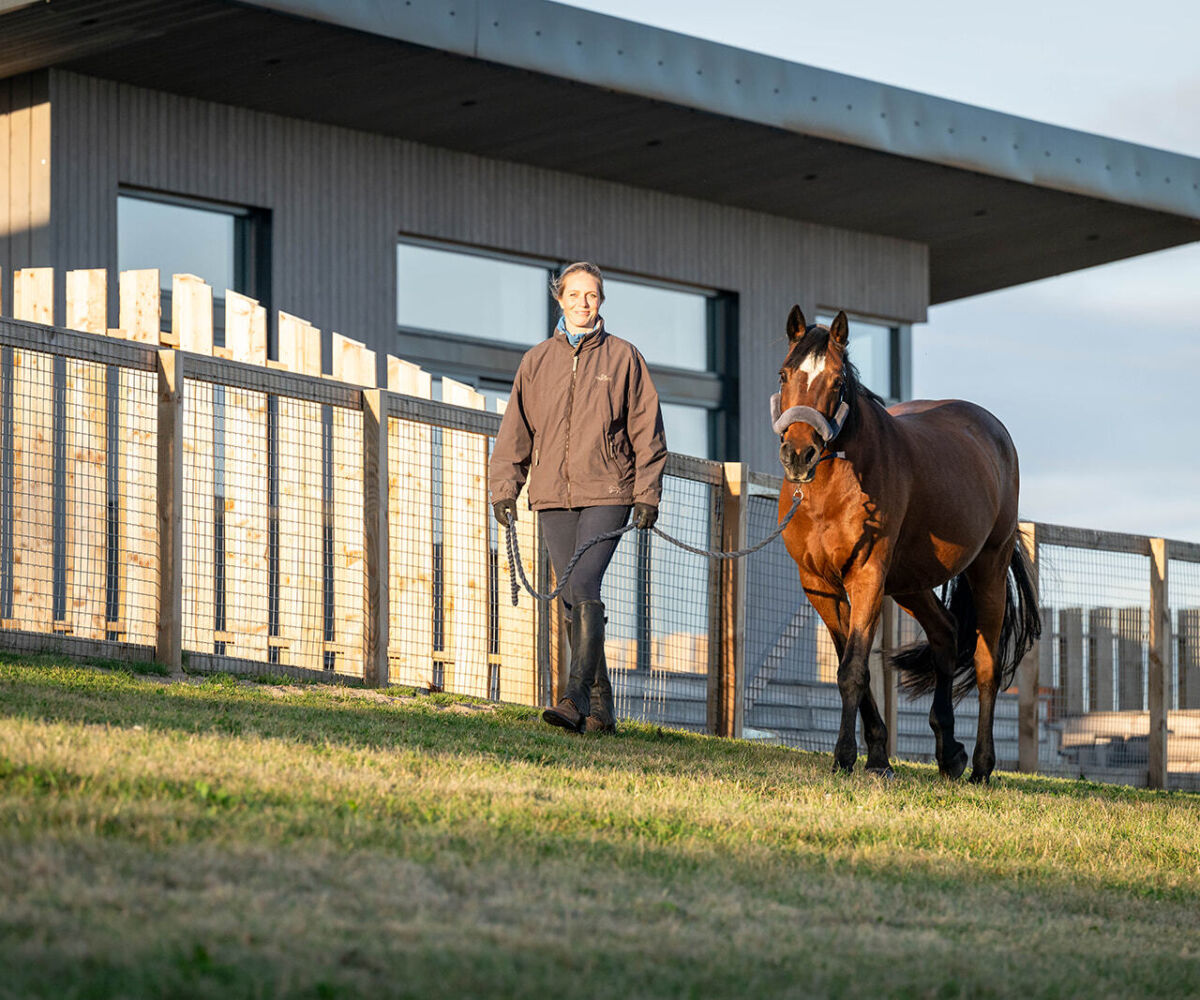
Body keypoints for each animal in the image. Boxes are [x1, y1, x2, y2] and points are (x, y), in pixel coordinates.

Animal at [773, 307, 1040, 782]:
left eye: (837, 382)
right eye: (785, 374)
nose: (799, 454)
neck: (830, 491)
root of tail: (993, 432)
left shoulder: (867, 577)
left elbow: (853, 669)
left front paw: (846, 756)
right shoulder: (819, 585)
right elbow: (849, 664)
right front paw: (878, 755)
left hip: (987, 567)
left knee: (987, 666)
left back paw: (981, 766)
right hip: (910, 583)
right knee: (946, 633)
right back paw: (949, 753)